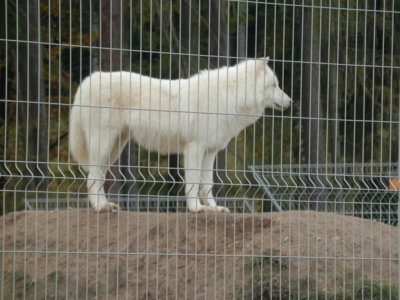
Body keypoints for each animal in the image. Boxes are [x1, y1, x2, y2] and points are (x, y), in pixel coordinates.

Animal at [69, 58, 290, 212]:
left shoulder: (210, 151)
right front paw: (196, 209)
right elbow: (193, 181)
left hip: (114, 148)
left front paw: (213, 208)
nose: (290, 101)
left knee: (97, 177)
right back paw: (101, 207)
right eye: (275, 85)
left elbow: (207, 184)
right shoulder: (194, 147)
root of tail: (88, 80)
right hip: (104, 146)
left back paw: (105, 205)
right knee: (93, 177)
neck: (230, 96)